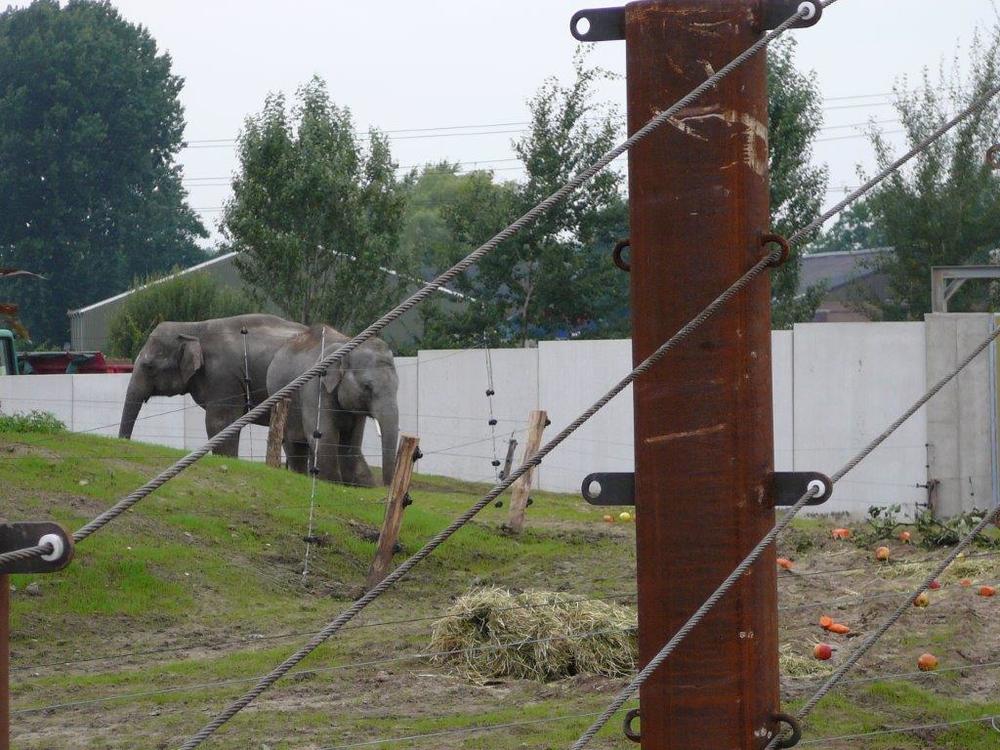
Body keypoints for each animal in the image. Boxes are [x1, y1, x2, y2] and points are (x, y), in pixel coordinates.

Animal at [272, 326, 404, 490]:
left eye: (397, 387)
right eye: (367, 387)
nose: (386, 487)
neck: (347, 343)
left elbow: (352, 441)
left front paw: (348, 486)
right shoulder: (315, 387)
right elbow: (324, 435)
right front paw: (331, 484)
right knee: (294, 445)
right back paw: (301, 476)